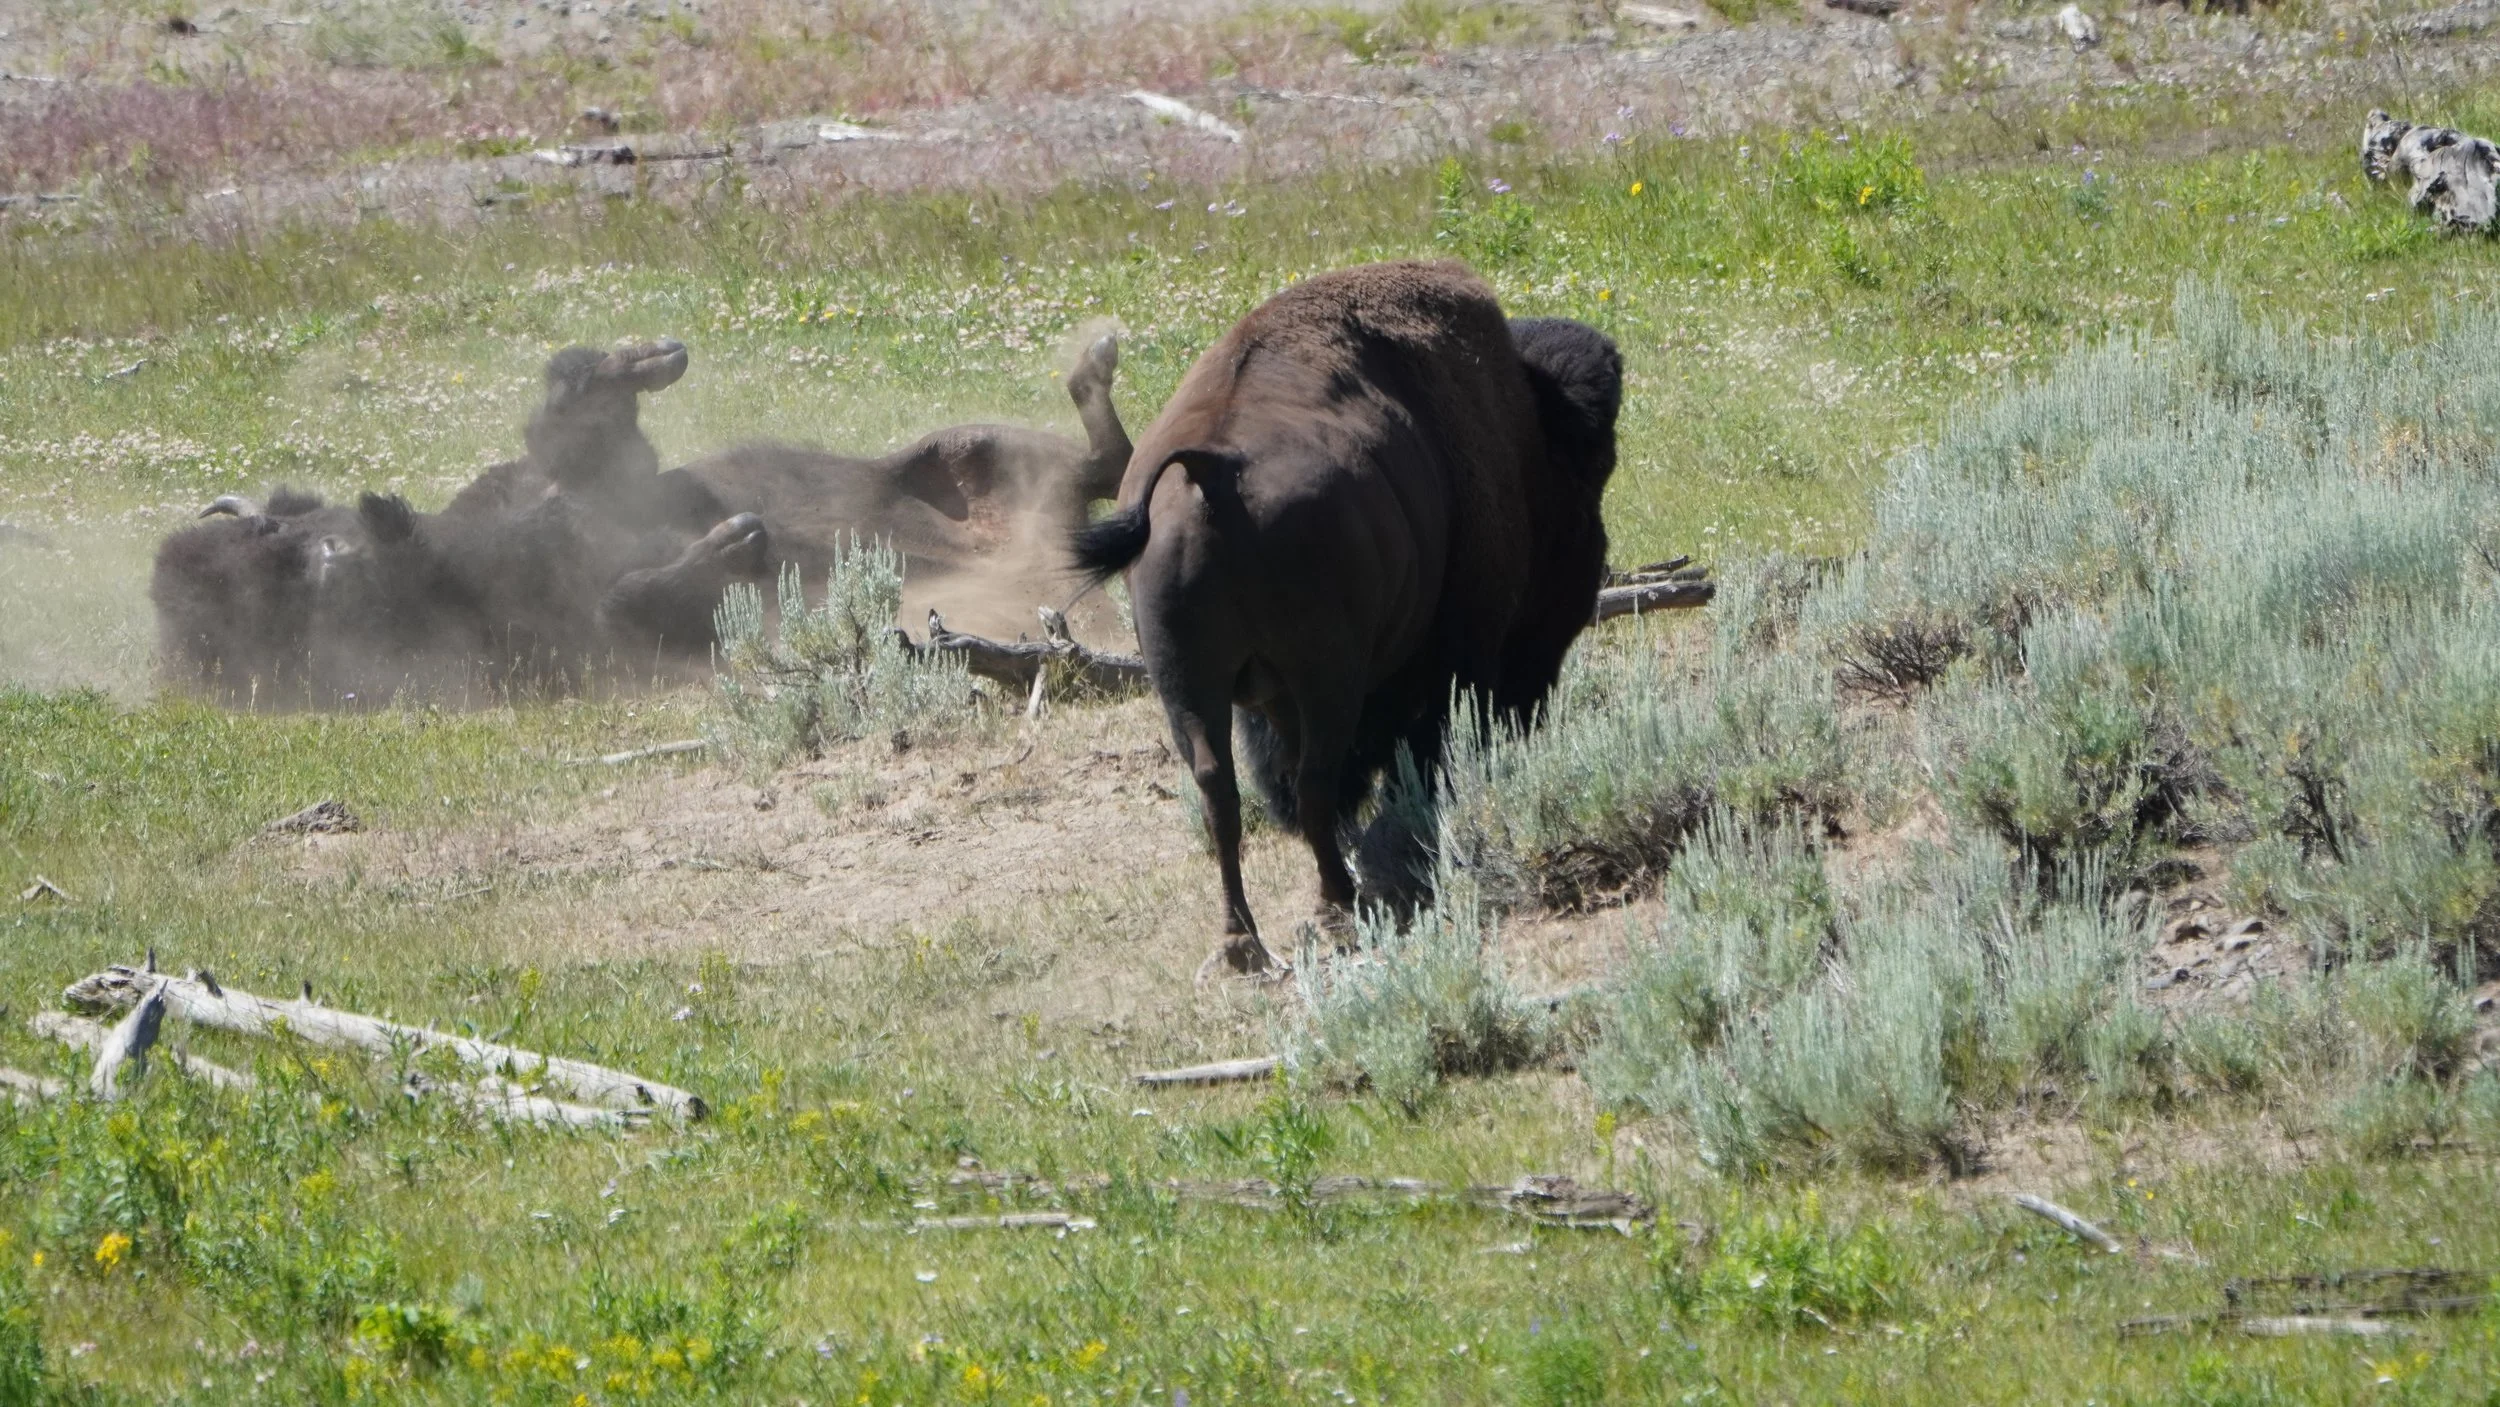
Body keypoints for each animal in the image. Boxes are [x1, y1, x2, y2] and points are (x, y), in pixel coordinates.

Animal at [154, 334, 1134, 705]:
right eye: (295, 589)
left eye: (269, 533)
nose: (341, 543)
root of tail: (1055, 566)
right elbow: (628, 599)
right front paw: (736, 541)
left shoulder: (576, 477)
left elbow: (583, 434)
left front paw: (642, 358)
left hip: (966, 447)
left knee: (1101, 462)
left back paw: (1093, 358)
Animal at [1073, 261, 1621, 977]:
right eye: (1586, 488)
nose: (1591, 572)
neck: (1526, 433)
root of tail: (1207, 477)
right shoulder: (1458, 655)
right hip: (1322, 678)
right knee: (1314, 781)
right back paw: (1337, 904)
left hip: (1186, 686)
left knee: (1221, 793)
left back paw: (1242, 943)